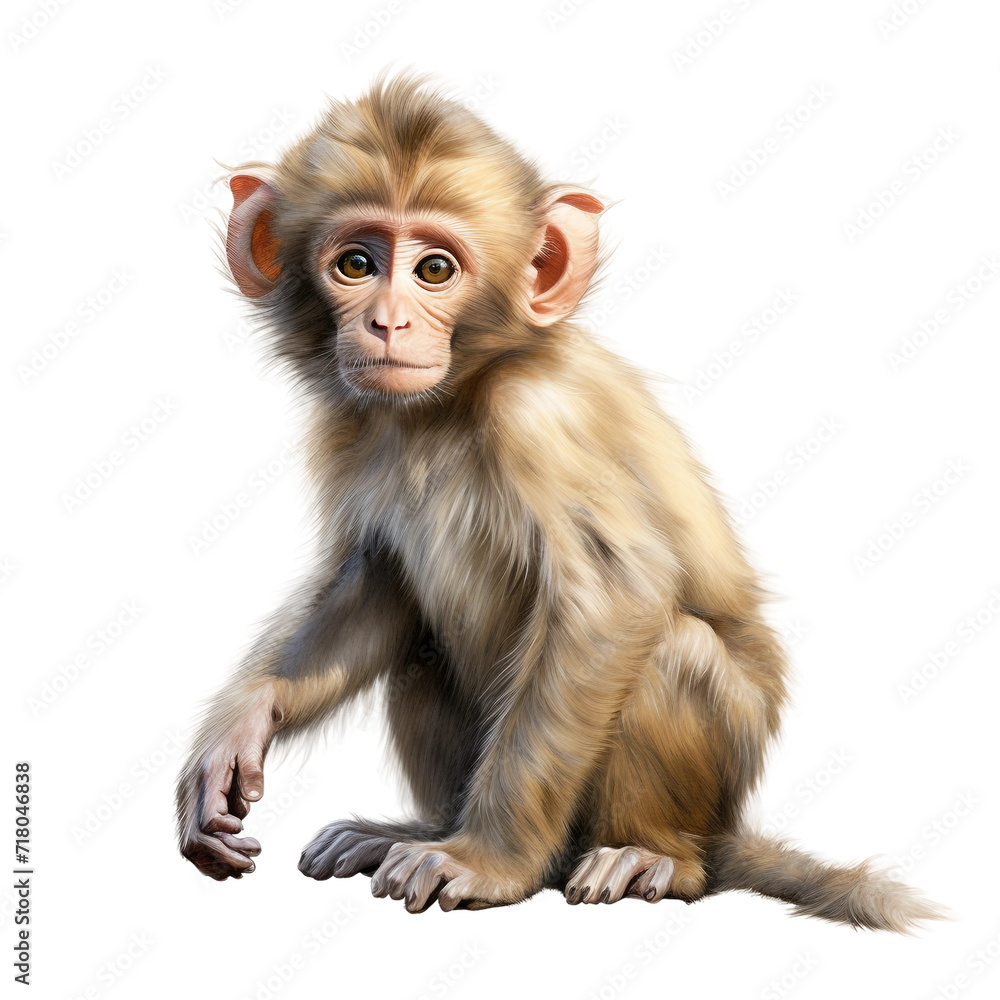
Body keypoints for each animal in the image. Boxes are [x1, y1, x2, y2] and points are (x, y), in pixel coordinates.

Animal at [176, 74, 942, 931]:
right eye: (355, 262)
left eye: (434, 269)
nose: (387, 322)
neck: (448, 404)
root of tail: (719, 832)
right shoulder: (349, 428)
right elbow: (374, 586)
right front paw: (242, 724)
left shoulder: (542, 419)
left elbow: (612, 604)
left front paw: (486, 860)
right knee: (419, 649)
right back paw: (413, 831)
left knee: (672, 653)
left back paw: (648, 855)